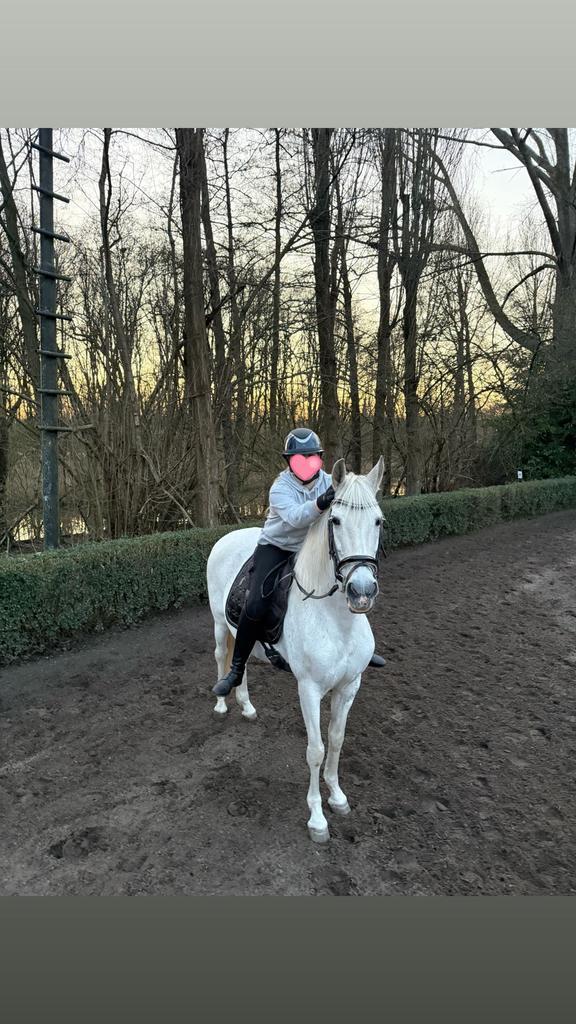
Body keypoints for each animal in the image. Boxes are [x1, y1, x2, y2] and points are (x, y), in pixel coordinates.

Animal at [206, 456, 385, 843]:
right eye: (335, 520)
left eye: (378, 521)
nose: (361, 592)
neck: (336, 620)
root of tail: (227, 537)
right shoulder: (309, 689)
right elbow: (315, 750)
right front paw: (317, 818)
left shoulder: (350, 686)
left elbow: (336, 739)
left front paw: (338, 797)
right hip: (218, 625)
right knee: (223, 657)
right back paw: (223, 700)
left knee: (242, 661)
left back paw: (246, 706)